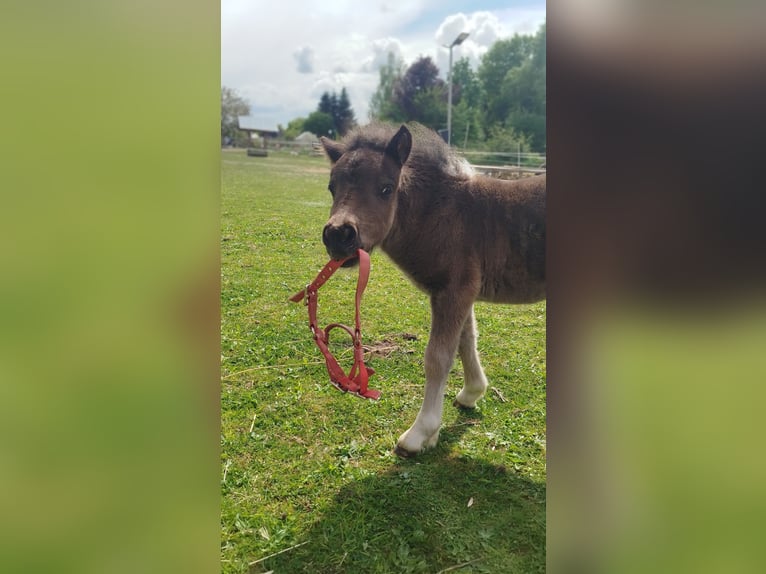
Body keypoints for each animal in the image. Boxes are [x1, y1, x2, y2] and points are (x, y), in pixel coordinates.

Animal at [320, 122, 545, 456]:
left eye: (386, 188)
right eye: (332, 187)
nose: (338, 235)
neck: (444, 214)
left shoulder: (454, 290)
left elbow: (438, 357)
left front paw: (418, 434)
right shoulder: (460, 293)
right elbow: (466, 341)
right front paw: (471, 393)